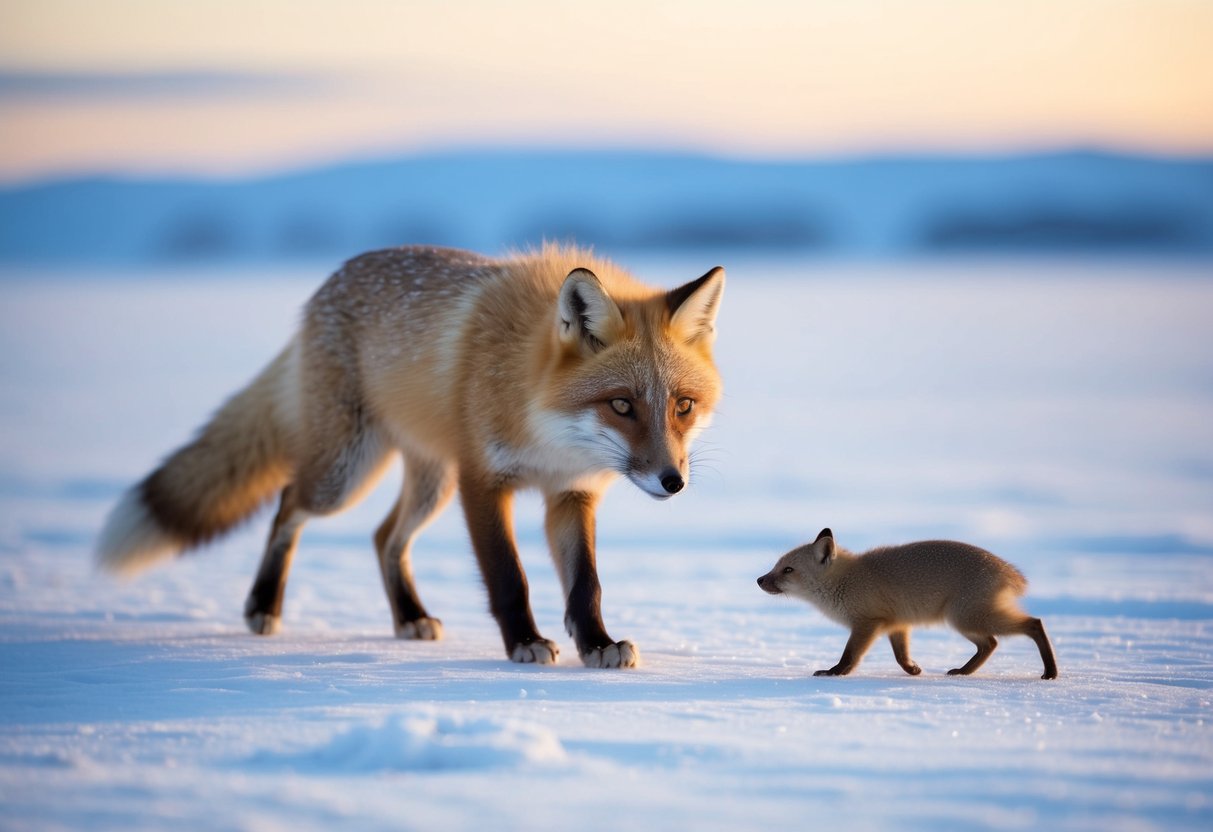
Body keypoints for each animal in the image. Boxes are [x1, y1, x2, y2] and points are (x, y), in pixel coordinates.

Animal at [95, 245, 725, 668]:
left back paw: (409, 617)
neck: (546, 427)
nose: (673, 481)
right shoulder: (481, 481)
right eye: (621, 404)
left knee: (384, 538)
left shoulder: (571, 492)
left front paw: (597, 644)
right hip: (347, 474)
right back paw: (263, 605)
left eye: (683, 405)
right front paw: (524, 642)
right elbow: (509, 576)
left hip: (429, 482)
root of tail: (327, 284)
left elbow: (585, 584)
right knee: (287, 505)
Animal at [757, 528, 1058, 679]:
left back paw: (1051, 672)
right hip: (968, 621)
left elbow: (850, 656)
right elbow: (901, 657)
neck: (846, 581)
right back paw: (963, 672)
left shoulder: (867, 623)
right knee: (991, 644)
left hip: (966, 618)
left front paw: (834, 673)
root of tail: (1008, 570)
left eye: (787, 570)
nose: (759, 580)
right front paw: (913, 670)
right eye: (776, 566)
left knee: (1034, 624)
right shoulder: (896, 625)